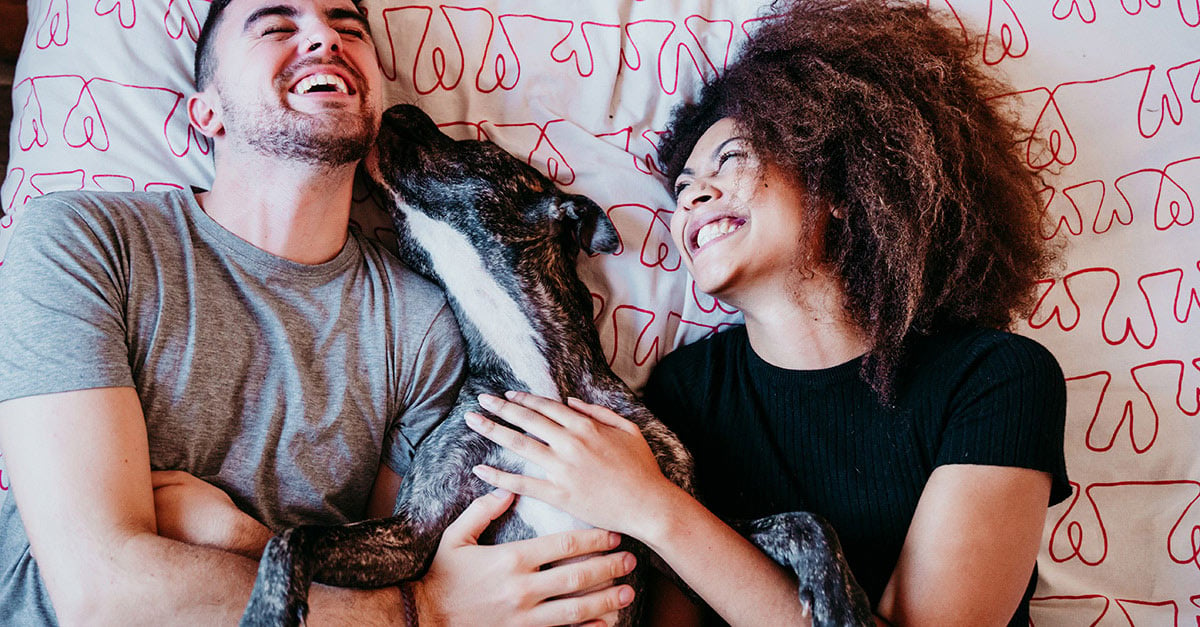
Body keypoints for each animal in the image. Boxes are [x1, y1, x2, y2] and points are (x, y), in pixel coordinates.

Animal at [238, 105, 873, 619]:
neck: (535, 372)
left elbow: (804, 520)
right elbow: (294, 536)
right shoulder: (413, 536)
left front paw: (839, 598)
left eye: (478, 147)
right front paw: (268, 607)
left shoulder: (679, 537)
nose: (396, 108)